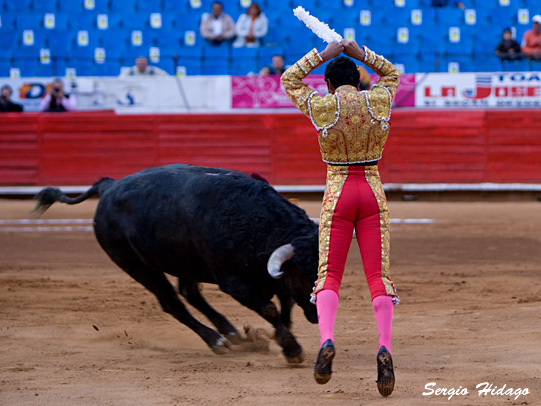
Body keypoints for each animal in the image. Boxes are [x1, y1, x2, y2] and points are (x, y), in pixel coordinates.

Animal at [33, 163, 318, 364]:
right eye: (306, 276)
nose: (317, 314)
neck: (253, 222)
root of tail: (109, 188)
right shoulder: (234, 283)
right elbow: (270, 309)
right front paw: (291, 349)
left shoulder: (274, 277)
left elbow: (285, 306)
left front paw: (279, 340)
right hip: (136, 266)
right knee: (172, 302)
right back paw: (216, 341)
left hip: (185, 262)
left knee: (189, 293)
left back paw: (233, 334)